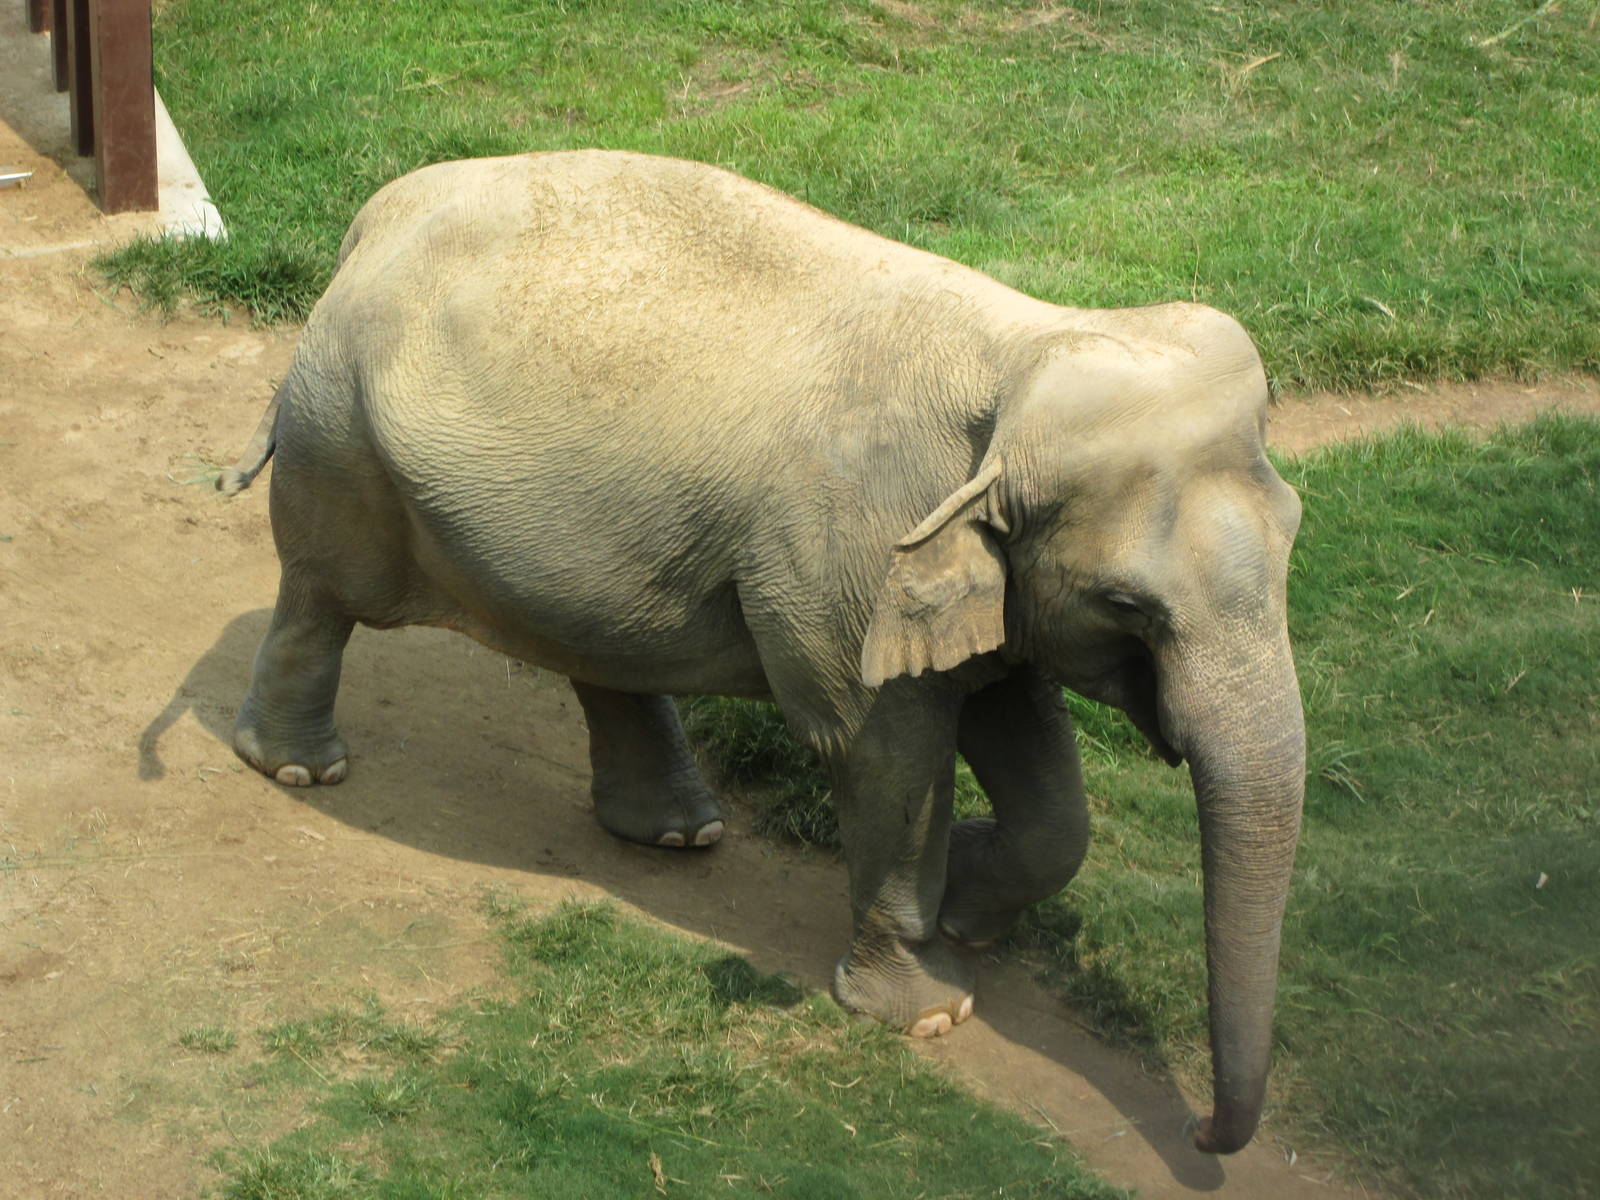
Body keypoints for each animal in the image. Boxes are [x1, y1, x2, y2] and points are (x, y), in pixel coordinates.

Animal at [218, 149, 1304, 1155]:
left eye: (1296, 534)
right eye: (1128, 603)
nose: (1201, 1134)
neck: (1021, 349)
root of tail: (378, 213)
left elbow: (1037, 773)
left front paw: (966, 896)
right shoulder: (853, 556)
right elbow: (883, 750)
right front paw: (929, 1011)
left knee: (596, 644)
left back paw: (675, 833)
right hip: (340, 439)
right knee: (323, 591)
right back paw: (299, 770)